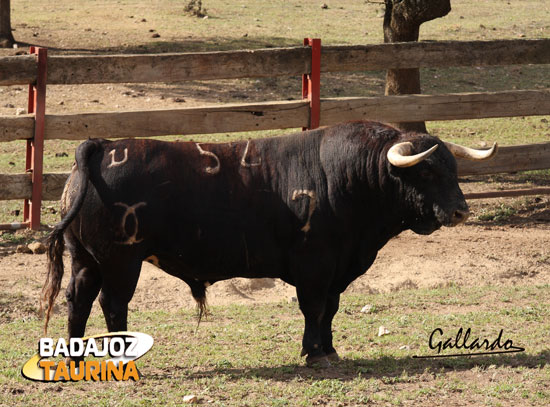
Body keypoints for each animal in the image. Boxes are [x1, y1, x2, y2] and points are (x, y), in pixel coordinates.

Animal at [43, 120, 498, 366]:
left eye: (453, 169)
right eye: (426, 172)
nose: (461, 211)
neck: (349, 179)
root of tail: (102, 147)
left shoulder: (336, 270)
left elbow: (330, 309)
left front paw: (329, 349)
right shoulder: (314, 266)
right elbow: (314, 308)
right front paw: (314, 353)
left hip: (86, 260)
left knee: (78, 299)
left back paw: (75, 355)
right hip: (121, 261)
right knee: (112, 303)